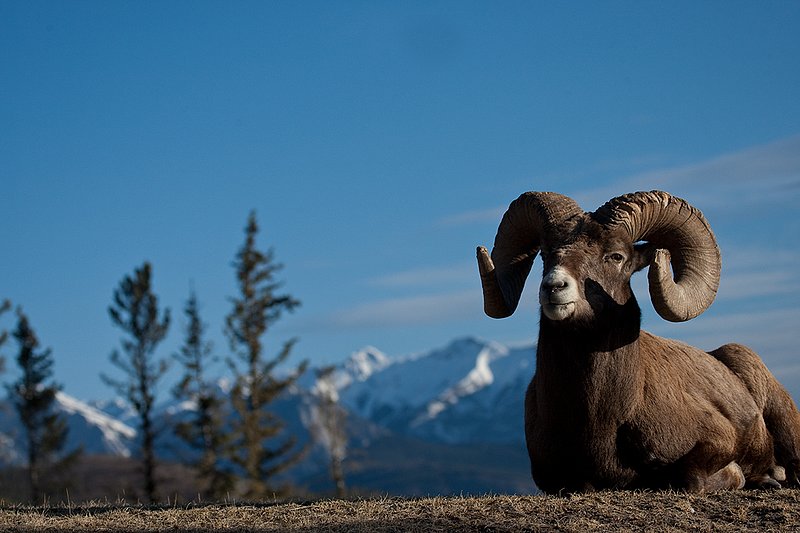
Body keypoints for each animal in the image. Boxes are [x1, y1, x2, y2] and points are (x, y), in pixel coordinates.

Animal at [476, 190, 800, 494]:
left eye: (616, 256)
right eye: (545, 254)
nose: (554, 287)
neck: (602, 417)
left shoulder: (719, 439)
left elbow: (689, 478)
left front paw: (739, 477)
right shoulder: (554, 478)